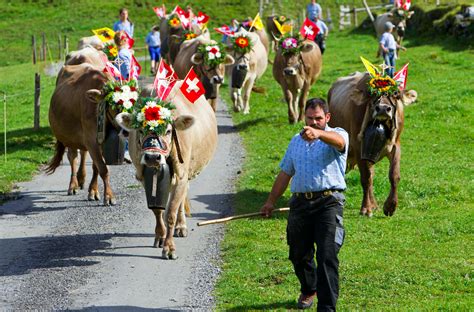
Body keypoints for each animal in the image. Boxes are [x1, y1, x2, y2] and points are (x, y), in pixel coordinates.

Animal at [46, 63, 117, 205]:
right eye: (114, 106)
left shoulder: (98, 142)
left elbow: (96, 167)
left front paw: (93, 191)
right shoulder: (91, 140)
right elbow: (103, 168)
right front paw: (109, 196)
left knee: (82, 154)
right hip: (69, 137)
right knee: (73, 158)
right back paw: (73, 185)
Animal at [115, 81, 218, 260]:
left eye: (169, 131)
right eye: (141, 130)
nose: (152, 157)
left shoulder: (181, 174)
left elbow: (171, 212)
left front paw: (169, 247)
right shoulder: (145, 178)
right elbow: (157, 210)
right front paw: (160, 236)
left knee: (181, 200)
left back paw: (181, 226)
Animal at [328, 71, 416, 217]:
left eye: (395, 93)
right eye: (372, 93)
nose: (383, 109)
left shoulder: (395, 145)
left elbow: (394, 175)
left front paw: (390, 206)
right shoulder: (359, 147)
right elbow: (366, 178)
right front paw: (366, 208)